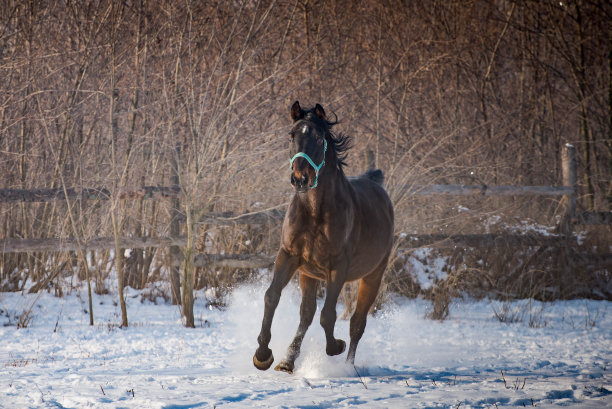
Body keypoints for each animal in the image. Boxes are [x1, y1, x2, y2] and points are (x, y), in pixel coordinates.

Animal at [252, 101, 392, 372]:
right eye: (291, 135)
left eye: (318, 137)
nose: (299, 179)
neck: (315, 212)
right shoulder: (289, 256)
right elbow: (271, 297)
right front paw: (262, 355)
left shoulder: (338, 267)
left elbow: (328, 315)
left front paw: (335, 346)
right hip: (308, 274)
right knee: (306, 314)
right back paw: (287, 361)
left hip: (372, 276)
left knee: (357, 323)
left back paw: (348, 367)